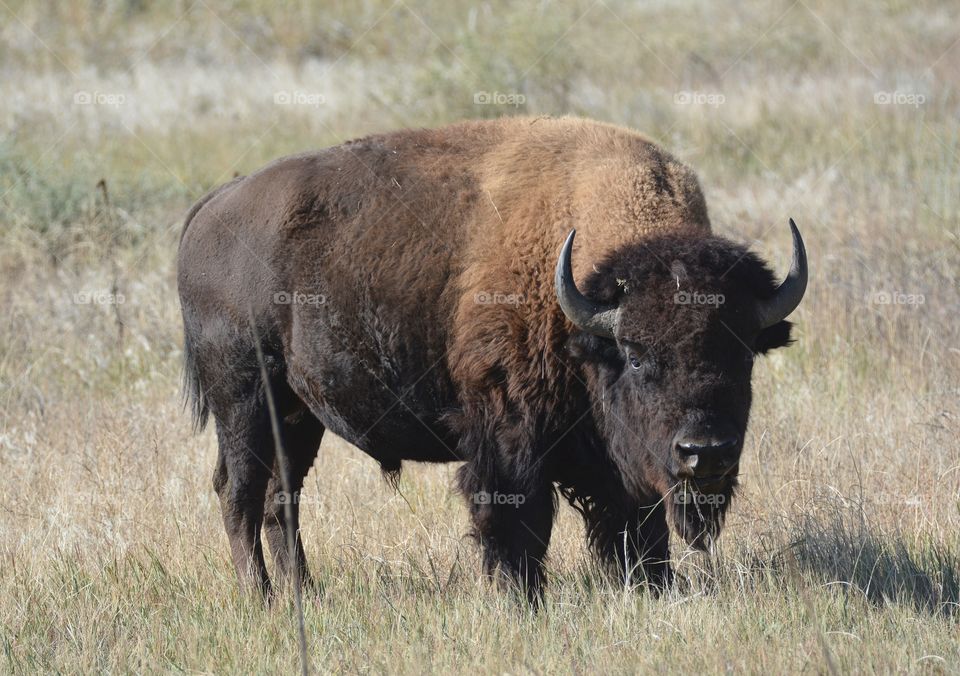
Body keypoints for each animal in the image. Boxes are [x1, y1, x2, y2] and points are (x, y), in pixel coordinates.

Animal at [177, 116, 807, 601]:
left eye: (744, 354)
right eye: (634, 355)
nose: (706, 452)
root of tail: (211, 207)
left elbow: (636, 523)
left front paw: (655, 588)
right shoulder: (508, 432)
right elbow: (517, 519)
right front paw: (521, 597)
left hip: (297, 413)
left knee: (280, 497)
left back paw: (304, 593)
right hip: (244, 397)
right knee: (238, 490)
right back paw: (260, 599)